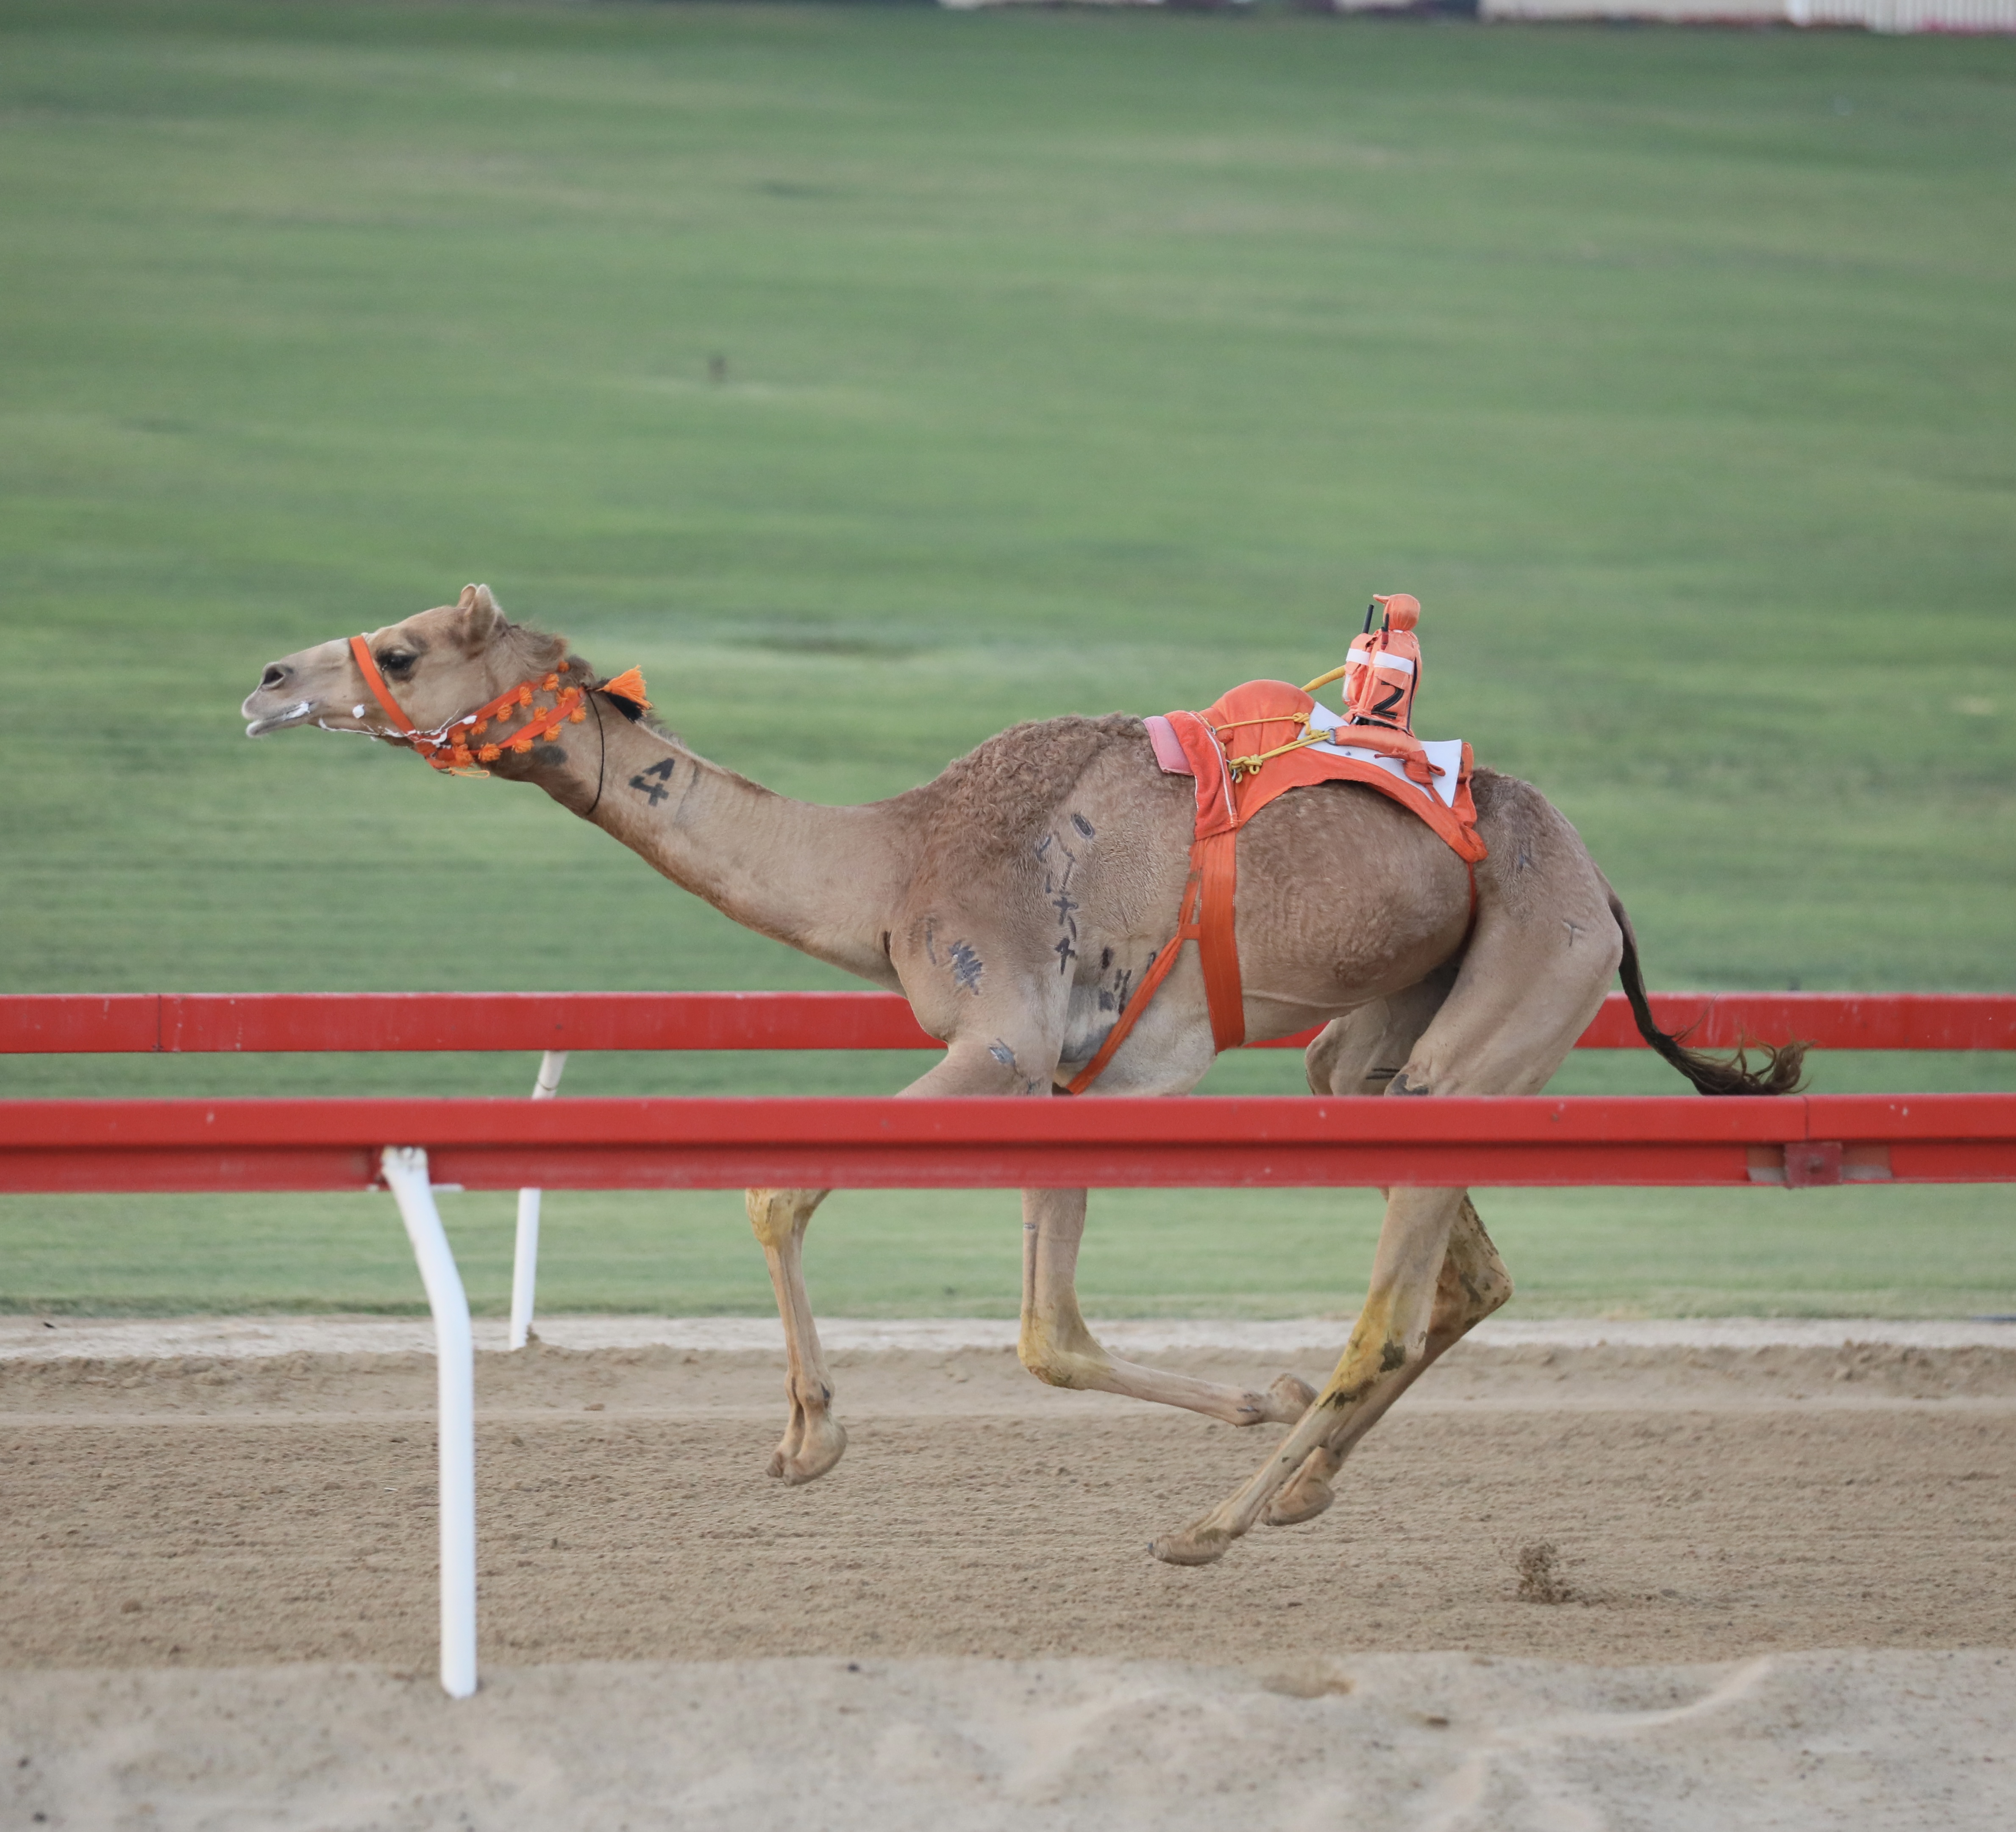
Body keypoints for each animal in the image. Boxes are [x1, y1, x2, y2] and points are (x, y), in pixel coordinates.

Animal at [236, 584, 1798, 1556]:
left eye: (407, 647)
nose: (264, 680)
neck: (892, 862)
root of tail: (1605, 894)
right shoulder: (1072, 1074)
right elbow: (1050, 1332)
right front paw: (1255, 1398)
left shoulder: (998, 1034)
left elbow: (774, 1191)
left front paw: (809, 1443)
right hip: (1382, 1040)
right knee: (1457, 1267)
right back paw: (1299, 1485)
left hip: (1515, 991)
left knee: (1392, 1313)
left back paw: (1212, 1527)